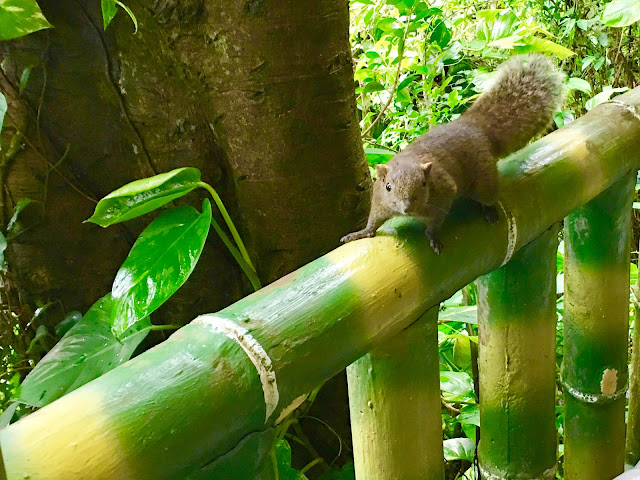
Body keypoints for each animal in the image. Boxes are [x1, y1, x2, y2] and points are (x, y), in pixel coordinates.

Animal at [340, 53, 564, 255]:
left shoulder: (445, 193)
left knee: (489, 195)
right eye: (387, 186)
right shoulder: (379, 200)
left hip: (483, 181)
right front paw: (360, 233)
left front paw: (433, 237)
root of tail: (475, 126)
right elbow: (373, 221)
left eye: (424, 184)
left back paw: (490, 211)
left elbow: (435, 223)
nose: (406, 207)